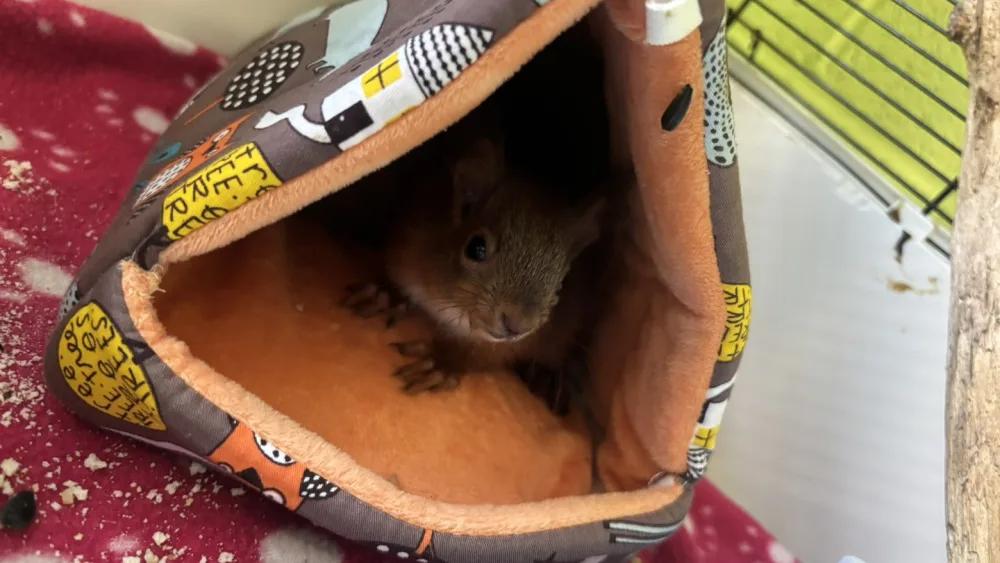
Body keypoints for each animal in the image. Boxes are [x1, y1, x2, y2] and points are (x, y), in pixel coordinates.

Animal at [341, 104, 610, 416]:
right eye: (476, 248)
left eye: (562, 285)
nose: (517, 326)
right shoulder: (410, 245)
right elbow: (395, 279)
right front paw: (384, 294)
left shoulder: (513, 343)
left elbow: (482, 354)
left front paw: (442, 363)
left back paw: (548, 377)